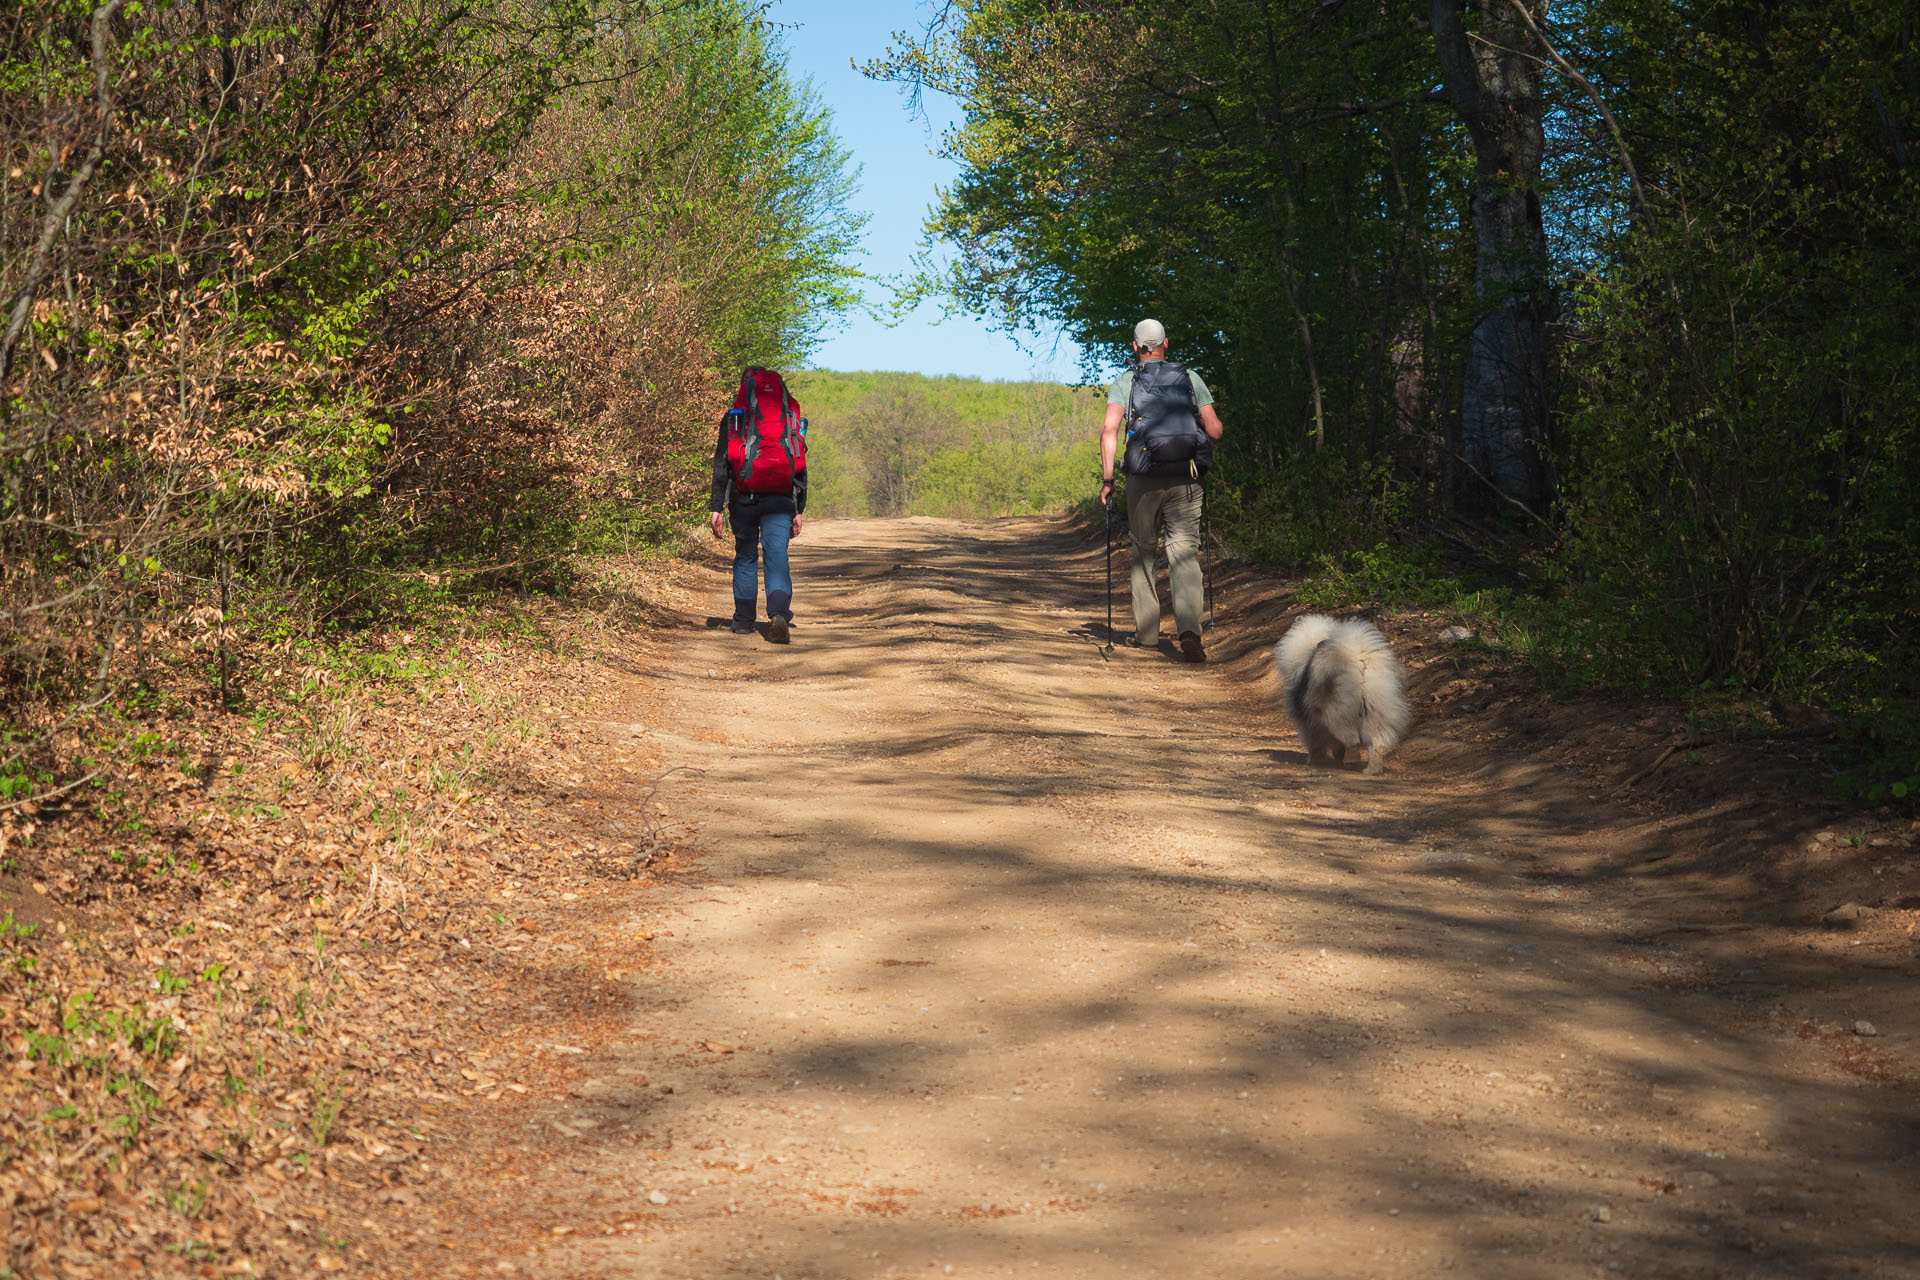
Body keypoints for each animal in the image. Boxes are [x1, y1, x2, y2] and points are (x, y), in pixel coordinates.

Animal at [1274, 614, 1413, 775]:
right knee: (1378, 744)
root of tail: (1360, 659)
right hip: (1376, 710)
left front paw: (1313, 760)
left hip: (1337, 710)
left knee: (1351, 739)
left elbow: (1315, 743)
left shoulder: (1307, 721)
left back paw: (1351, 760)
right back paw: (1372, 770)